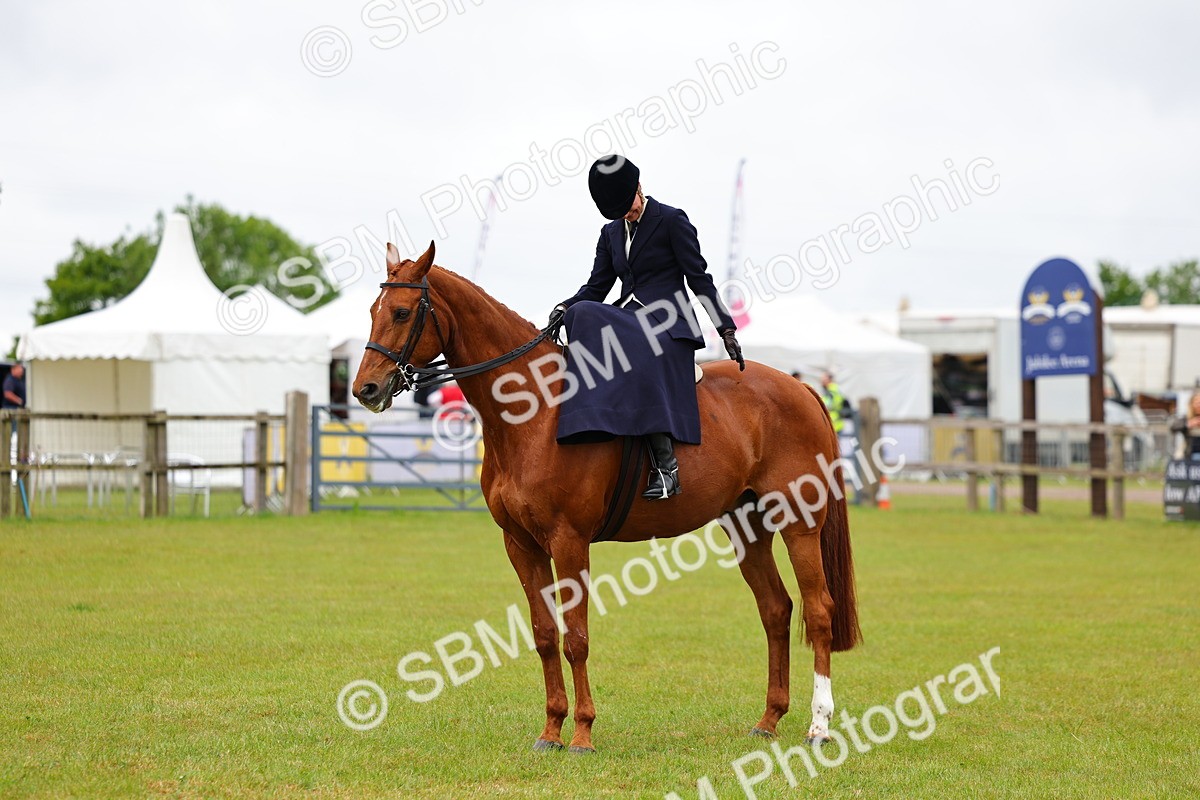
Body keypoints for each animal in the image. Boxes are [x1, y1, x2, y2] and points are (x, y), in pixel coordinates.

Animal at [353, 241, 860, 754]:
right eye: (372, 311)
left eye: (401, 312)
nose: (365, 389)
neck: (536, 411)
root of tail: (798, 387)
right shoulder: (521, 545)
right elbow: (544, 635)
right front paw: (551, 730)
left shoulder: (568, 542)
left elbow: (576, 636)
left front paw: (581, 733)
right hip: (747, 527)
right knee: (776, 610)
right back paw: (769, 719)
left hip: (799, 523)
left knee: (819, 612)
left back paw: (819, 725)